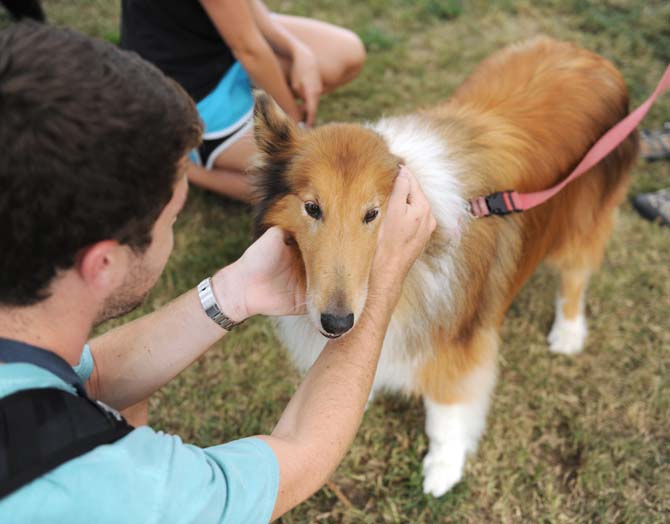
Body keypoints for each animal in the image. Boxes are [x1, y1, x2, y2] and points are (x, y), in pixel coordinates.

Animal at [252, 36, 640, 496]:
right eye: (312, 208)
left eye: (372, 214)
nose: (337, 322)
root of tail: (586, 54)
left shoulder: (456, 338)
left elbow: (446, 411)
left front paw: (442, 468)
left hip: (584, 217)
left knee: (575, 275)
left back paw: (568, 332)